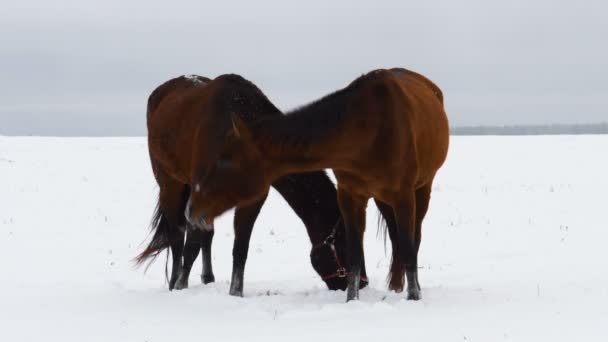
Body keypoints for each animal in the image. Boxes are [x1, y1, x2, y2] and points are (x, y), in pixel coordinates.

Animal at [135, 75, 368, 296]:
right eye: (343, 243)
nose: (363, 283)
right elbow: (190, 245)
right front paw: (180, 286)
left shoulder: (252, 198)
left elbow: (240, 248)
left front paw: (235, 293)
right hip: (169, 183)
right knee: (176, 236)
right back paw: (174, 282)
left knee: (205, 236)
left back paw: (207, 279)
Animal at [184, 68, 446, 300]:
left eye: (225, 162)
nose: (191, 209)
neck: (370, 129)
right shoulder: (351, 196)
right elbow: (354, 255)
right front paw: (352, 301)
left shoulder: (403, 196)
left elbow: (409, 247)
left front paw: (414, 298)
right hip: (382, 199)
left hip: (420, 190)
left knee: (414, 238)